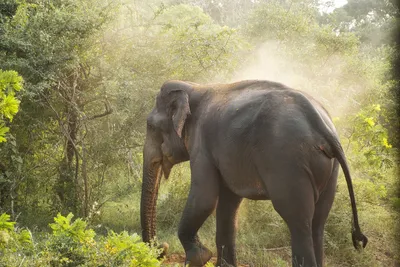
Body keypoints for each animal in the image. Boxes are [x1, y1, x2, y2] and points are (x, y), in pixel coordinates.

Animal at [140, 79, 366, 267]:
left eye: (150, 125)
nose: (162, 247)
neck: (195, 87)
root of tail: (323, 127)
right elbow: (228, 204)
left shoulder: (202, 143)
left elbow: (205, 198)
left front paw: (198, 258)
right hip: (329, 168)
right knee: (317, 222)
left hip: (288, 162)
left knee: (297, 221)